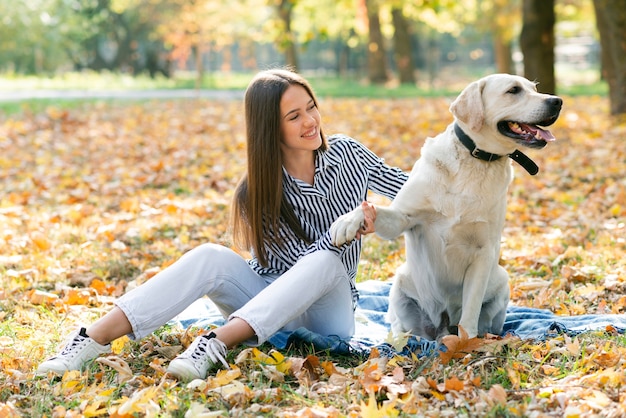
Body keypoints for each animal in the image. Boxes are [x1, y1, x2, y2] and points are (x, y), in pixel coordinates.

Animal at [332, 74, 560, 340]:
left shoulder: (484, 250)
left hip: (501, 280)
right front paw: (346, 222)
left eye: (534, 88)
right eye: (513, 90)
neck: (475, 159)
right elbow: (371, 212)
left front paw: (467, 343)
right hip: (401, 283)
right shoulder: (403, 218)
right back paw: (400, 339)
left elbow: (470, 309)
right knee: (401, 327)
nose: (557, 101)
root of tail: (441, 326)